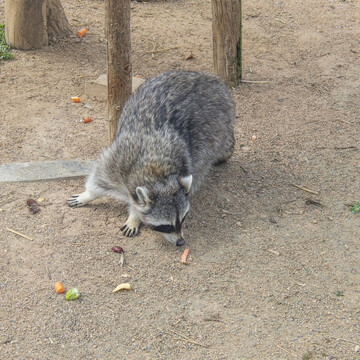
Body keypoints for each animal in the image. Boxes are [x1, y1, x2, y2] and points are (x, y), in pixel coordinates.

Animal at [68, 69, 235, 246]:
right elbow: (98, 179)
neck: (157, 172)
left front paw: (135, 216)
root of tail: (214, 81)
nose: (181, 242)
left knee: (202, 165)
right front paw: (88, 195)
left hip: (215, 130)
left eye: (183, 219)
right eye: (166, 226)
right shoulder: (117, 161)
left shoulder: (186, 161)